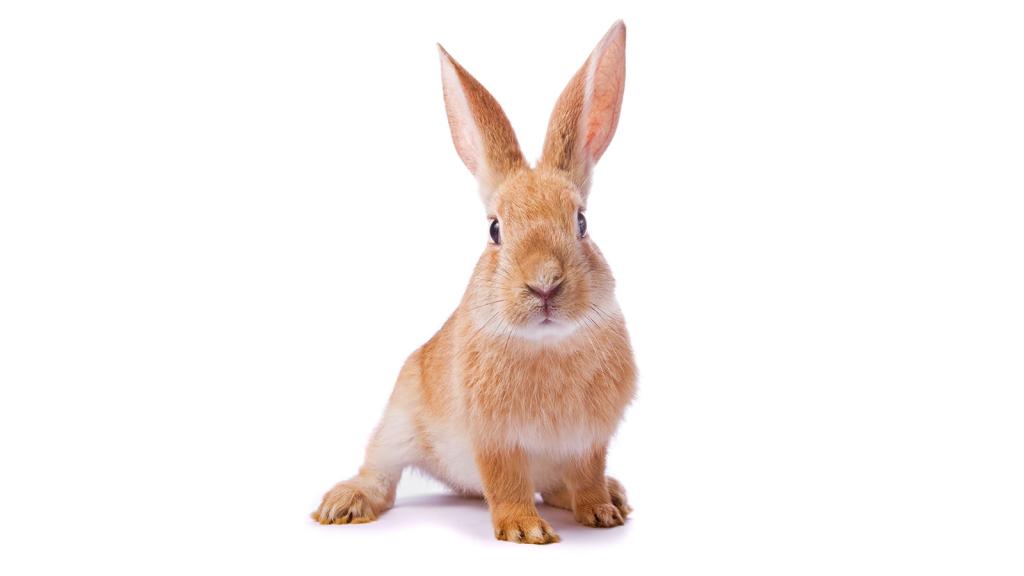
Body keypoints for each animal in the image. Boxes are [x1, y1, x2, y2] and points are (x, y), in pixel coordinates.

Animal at [312, 21, 635, 545]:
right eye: (495, 230)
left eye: (582, 222)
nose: (544, 285)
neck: (547, 345)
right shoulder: (495, 440)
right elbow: (506, 484)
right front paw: (524, 530)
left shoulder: (590, 441)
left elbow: (587, 476)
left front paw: (600, 513)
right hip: (398, 422)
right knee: (380, 474)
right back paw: (344, 503)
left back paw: (615, 495)